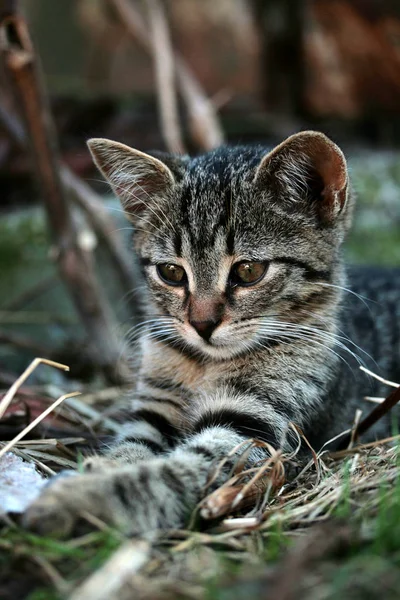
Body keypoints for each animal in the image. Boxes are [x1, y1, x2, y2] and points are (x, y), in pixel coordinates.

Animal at [24, 130, 400, 536]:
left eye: (249, 271)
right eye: (172, 272)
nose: (202, 324)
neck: (206, 364)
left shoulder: (254, 429)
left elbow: (170, 475)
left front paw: (83, 498)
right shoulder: (155, 407)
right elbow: (131, 446)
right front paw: (103, 467)